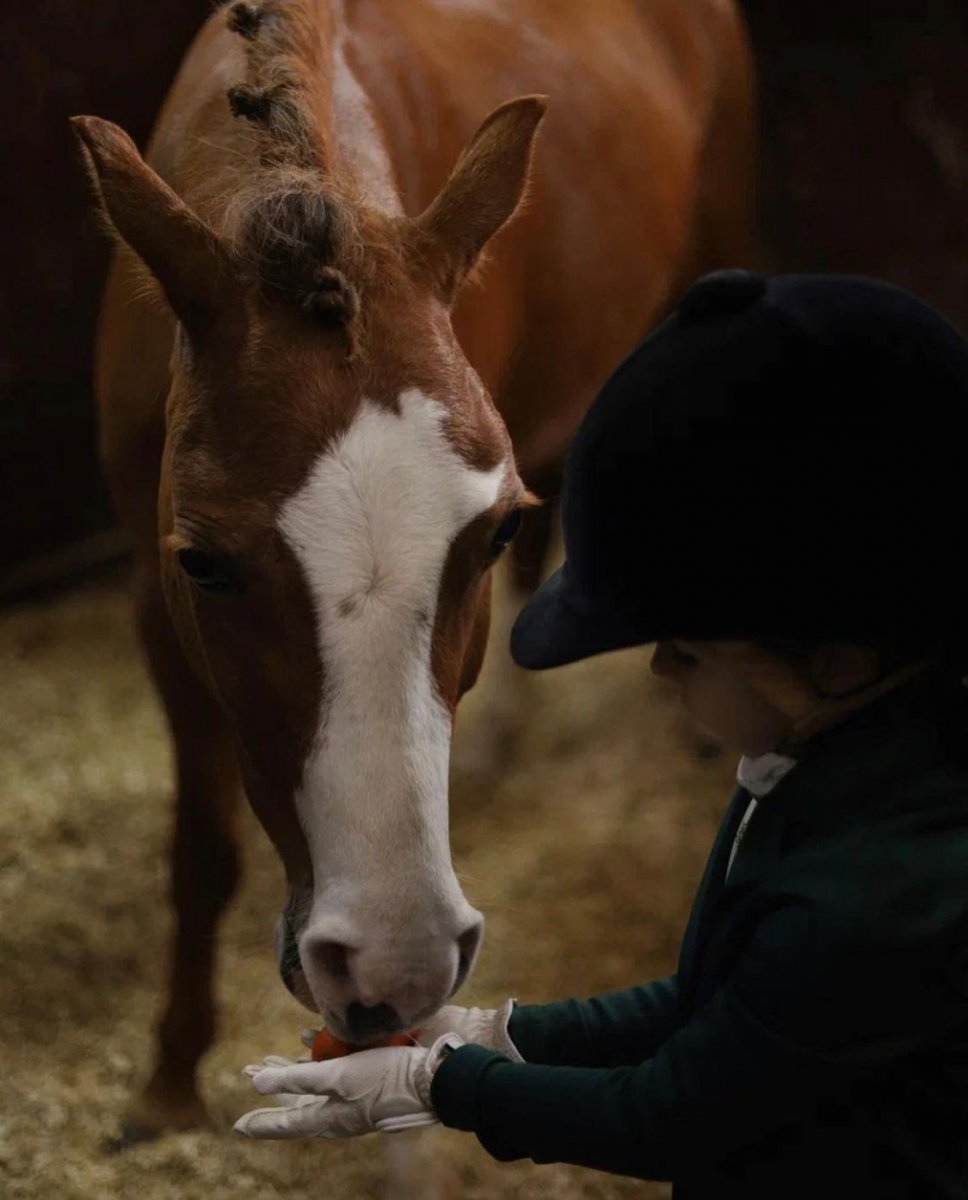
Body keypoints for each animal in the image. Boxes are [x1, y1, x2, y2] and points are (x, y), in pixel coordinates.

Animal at [73, 0, 753, 1138]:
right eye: (205, 565)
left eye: (481, 539)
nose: (394, 965)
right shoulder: (154, 610)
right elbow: (202, 852)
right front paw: (169, 1077)